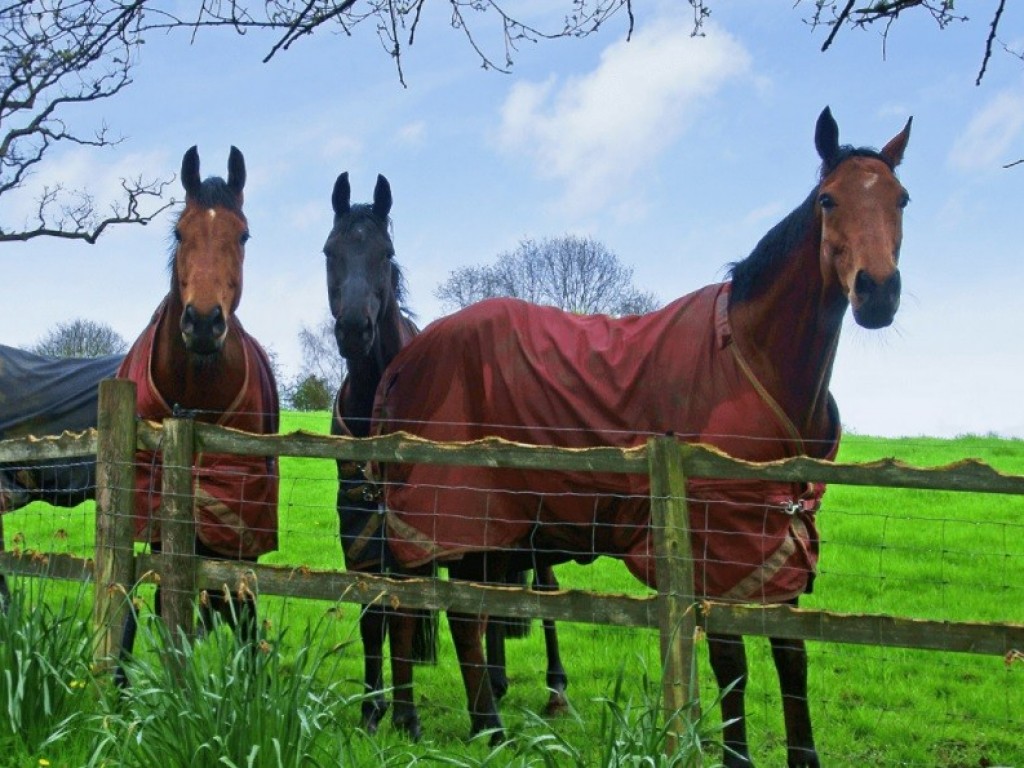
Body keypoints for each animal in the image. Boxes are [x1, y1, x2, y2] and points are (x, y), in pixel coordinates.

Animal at [323, 173, 569, 733]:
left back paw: (556, 690)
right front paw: (373, 710)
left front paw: (405, 717)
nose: (354, 329)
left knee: (540, 592)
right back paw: (496, 681)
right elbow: (375, 618)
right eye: (329, 251)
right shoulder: (360, 533)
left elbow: (406, 617)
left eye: (386, 252)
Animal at [370, 105, 913, 765]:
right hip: (458, 513)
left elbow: (792, 657)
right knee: (459, 619)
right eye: (829, 199)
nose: (877, 292)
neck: (751, 358)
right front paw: (736, 756)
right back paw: (483, 728)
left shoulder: (778, 536)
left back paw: (439, 722)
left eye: (902, 198)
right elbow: (732, 664)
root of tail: (408, 357)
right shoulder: (719, 540)